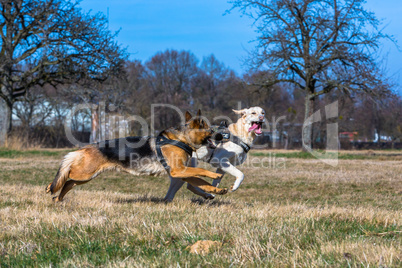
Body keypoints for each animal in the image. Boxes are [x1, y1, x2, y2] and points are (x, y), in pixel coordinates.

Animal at [46, 109, 228, 201]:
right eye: (211, 130)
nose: (221, 136)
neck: (182, 139)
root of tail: (84, 148)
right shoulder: (179, 170)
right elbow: (202, 173)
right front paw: (215, 174)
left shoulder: (182, 173)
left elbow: (202, 183)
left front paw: (217, 190)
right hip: (84, 173)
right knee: (66, 174)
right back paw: (51, 187)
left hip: (86, 177)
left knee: (68, 183)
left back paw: (58, 198)